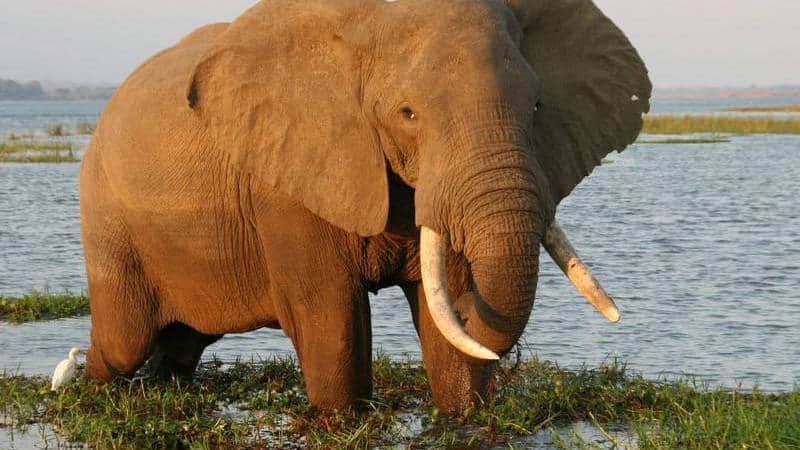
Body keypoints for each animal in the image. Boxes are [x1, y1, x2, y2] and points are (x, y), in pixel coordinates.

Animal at [78, 0, 648, 414]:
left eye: (536, 105)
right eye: (407, 113)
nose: (471, 310)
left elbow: (446, 328)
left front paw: (462, 410)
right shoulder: (287, 180)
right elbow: (332, 318)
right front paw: (341, 420)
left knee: (184, 340)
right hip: (105, 213)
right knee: (122, 342)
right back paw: (83, 386)